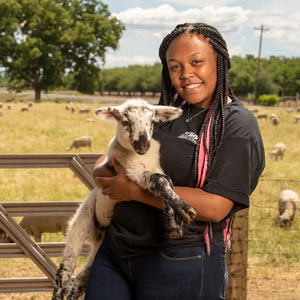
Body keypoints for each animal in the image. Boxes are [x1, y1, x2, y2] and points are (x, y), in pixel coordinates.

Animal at [51, 99, 197, 300]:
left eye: (152, 122)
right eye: (125, 122)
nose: (143, 146)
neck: (141, 157)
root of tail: (98, 235)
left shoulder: (156, 167)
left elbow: (167, 184)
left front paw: (172, 226)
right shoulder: (131, 172)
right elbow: (160, 182)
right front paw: (186, 209)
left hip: (97, 248)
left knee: (79, 281)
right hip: (81, 222)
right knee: (65, 271)